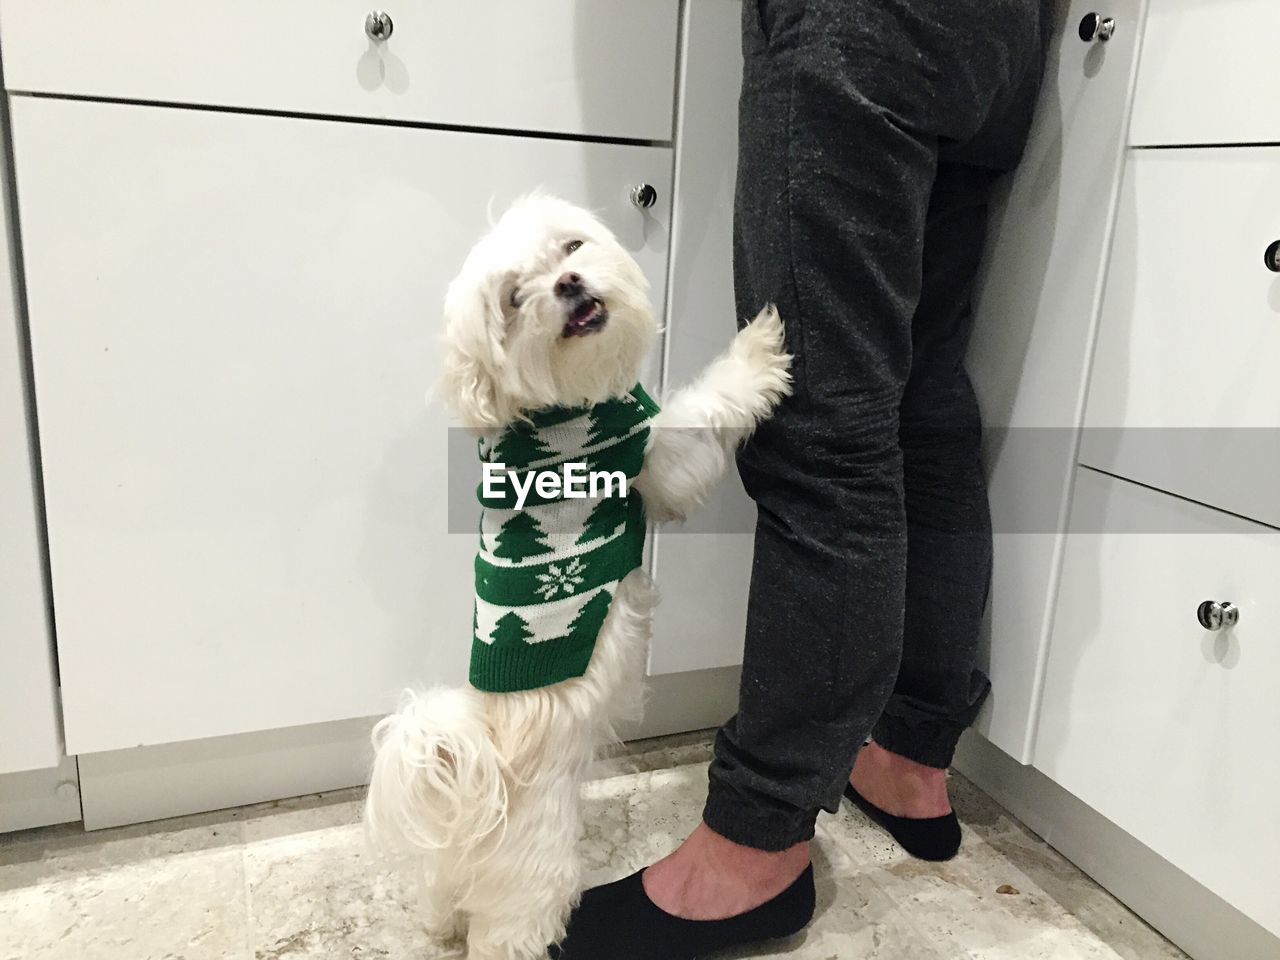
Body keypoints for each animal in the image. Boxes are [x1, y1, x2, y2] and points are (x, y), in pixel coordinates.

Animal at [363, 195, 788, 960]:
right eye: (512, 297)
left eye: (571, 247)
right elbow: (707, 408)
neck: (558, 402)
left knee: (441, 899)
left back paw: (438, 922)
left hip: (448, 866)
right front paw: (760, 347)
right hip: (531, 882)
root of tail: (477, 769)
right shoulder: (653, 457)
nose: (567, 284)